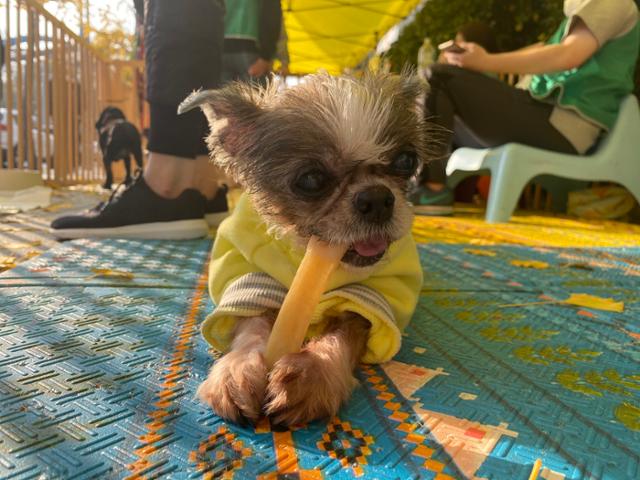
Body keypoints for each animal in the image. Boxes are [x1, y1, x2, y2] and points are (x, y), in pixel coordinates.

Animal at [180, 73, 430, 426]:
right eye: (311, 180)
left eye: (406, 161)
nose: (377, 198)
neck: (307, 251)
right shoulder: (253, 278)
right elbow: (252, 325)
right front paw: (238, 368)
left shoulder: (370, 295)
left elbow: (343, 332)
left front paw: (313, 372)